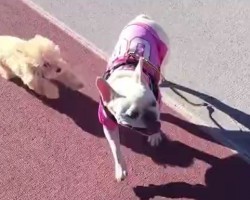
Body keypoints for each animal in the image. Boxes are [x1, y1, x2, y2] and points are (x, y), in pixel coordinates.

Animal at [95, 14, 170, 181]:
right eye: (131, 115)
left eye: (153, 104)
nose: (152, 121)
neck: (126, 78)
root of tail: (144, 18)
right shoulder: (107, 121)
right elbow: (115, 147)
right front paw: (120, 168)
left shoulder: (158, 101)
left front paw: (155, 135)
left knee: (163, 66)